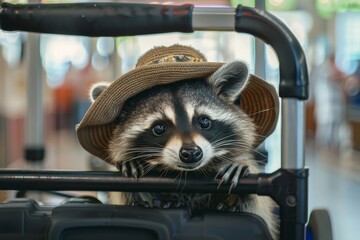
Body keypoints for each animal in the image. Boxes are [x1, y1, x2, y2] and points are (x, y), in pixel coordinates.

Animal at [90, 60, 278, 238]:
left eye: (204, 121)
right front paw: (139, 185)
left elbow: (256, 210)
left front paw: (236, 173)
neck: (188, 175)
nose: (191, 153)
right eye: (159, 128)